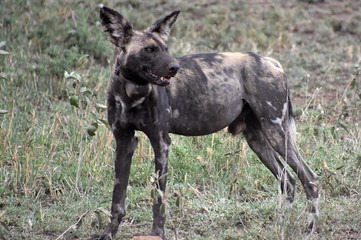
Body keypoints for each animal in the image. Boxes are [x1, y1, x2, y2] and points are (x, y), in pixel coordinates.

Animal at [93, 6, 320, 239]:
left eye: (165, 48)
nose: (174, 67)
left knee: (309, 179)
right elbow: (117, 198)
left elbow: (158, 198)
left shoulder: (161, 143)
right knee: (288, 181)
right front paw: (108, 233)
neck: (132, 93)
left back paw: (309, 229)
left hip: (276, 133)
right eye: (149, 50)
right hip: (257, 140)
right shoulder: (124, 142)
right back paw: (281, 225)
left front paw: (157, 233)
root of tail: (271, 62)